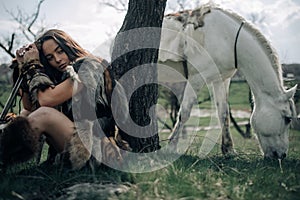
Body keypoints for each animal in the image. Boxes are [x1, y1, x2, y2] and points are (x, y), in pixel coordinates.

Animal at [157, 3, 298, 159]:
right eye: (288, 118)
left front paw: (229, 150)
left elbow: (223, 113)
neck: (227, 38)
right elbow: (184, 113)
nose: (282, 155)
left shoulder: (222, 80)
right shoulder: (196, 79)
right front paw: (171, 148)